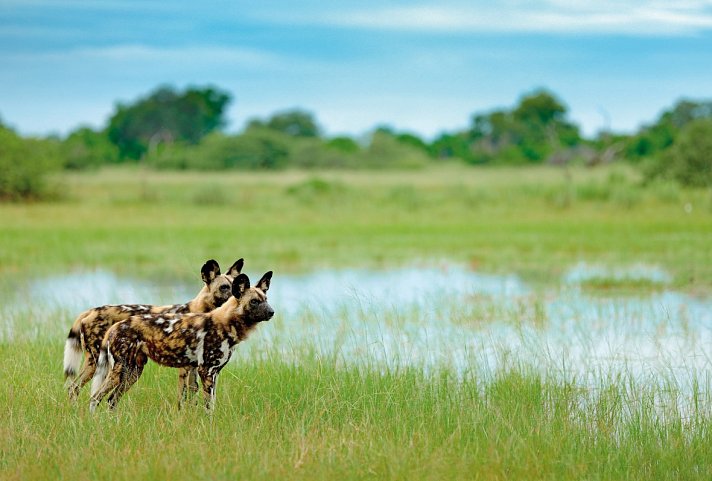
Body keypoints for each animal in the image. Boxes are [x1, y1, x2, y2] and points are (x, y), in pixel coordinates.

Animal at [64, 258, 242, 402]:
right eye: (224, 287)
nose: (237, 297)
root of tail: (90, 311)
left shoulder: (194, 369)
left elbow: (193, 396)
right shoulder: (185, 369)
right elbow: (182, 399)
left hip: (132, 370)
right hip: (98, 363)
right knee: (74, 388)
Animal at [90, 272, 274, 410]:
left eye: (266, 299)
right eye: (254, 301)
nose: (272, 312)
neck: (226, 323)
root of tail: (116, 326)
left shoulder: (214, 373)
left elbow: (210, 403)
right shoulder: (206, 371)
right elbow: (208, 408)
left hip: (133, 372)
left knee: (111, 400)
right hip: (119, 370)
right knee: (95, 398)